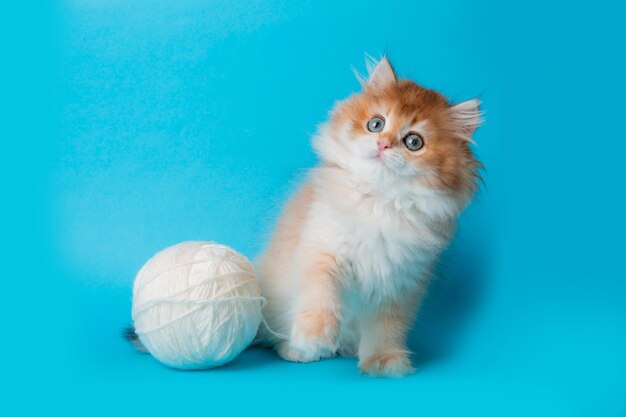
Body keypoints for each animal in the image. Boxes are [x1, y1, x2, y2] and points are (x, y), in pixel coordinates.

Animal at [256, 56, 480, 376]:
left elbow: (386, 327)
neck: (380, 202)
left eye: (414, 142)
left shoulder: (399, 283)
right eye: (376, 124)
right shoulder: (322, 249)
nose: (383, 145)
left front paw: (383, 361)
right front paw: (314, 336)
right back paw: (298, 350)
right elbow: (320, 295)